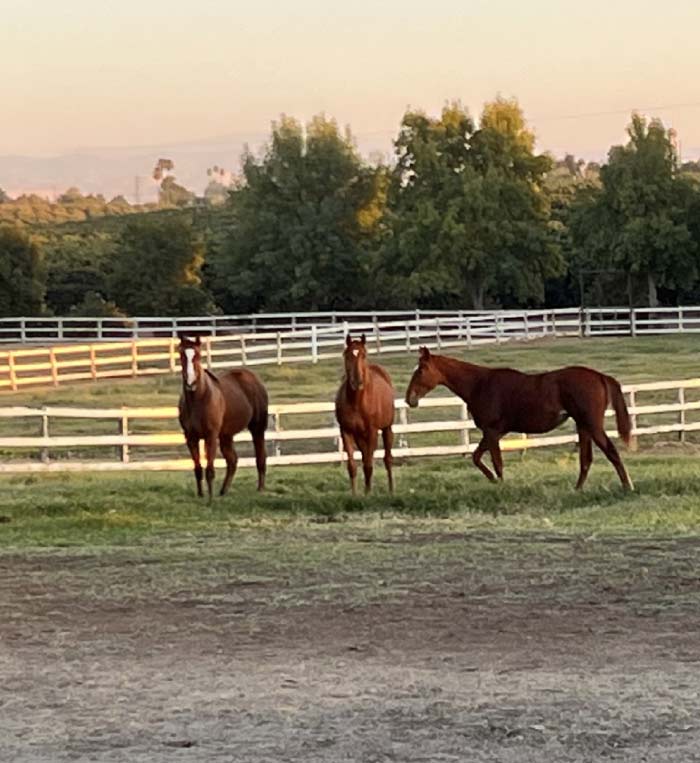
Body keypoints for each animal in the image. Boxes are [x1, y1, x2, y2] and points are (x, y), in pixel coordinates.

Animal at [178, 335, 268, 501]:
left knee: (260, 457)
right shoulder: (190, 437)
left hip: (257, 428)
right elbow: (198, 468)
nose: (190, 383)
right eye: (181, 355)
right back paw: (223, 491)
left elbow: (210, 470)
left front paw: (210, 499)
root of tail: (253, 378)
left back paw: (260, 489)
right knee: (232, 461)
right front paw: (200, 495)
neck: (199, 399)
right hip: (226, 435)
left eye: (198, 356)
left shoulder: (211, 436)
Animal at [335, 334, 395, 495]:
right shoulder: (346, 431)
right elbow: (352, 466)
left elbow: (368, 465)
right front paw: (355, 495)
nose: (357, 381)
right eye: (347, 355)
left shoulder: (372, 431)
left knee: (387, 459)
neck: (357, 402)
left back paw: (391, 490)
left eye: (364, 355)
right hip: (359, 436)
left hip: (386, 429)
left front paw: (368, 494)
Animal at [405, 347, 633, 491]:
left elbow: (496, 463)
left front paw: (501, 485)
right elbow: (477, 457)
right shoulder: (494, 433)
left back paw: (627, 487)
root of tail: (599, 376)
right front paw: (494, 481)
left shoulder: (492, 432)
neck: (479, 384)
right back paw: (578, 489)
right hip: (583, 426)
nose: (409, 399)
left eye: (422, 370)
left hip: (592, 425)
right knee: (586, 460)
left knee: (611, 452)